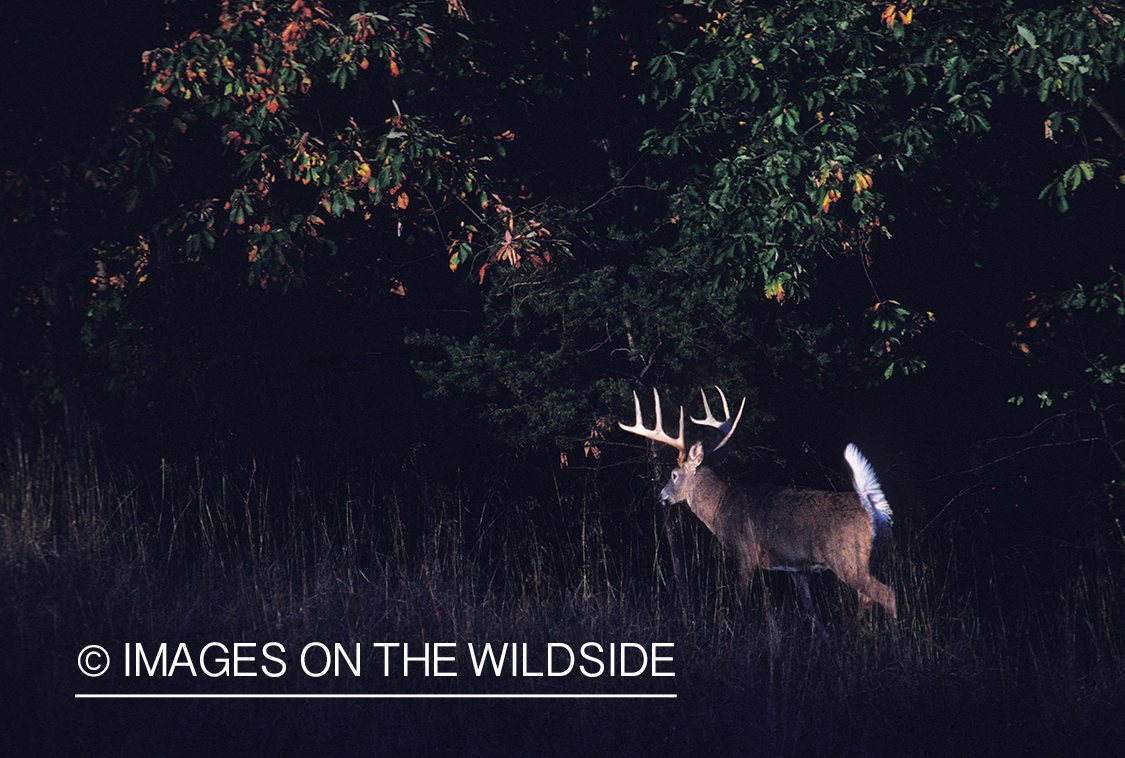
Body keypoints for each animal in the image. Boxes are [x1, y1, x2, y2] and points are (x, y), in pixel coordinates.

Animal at [620, 386, 897, 620]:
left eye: (674, 475)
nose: (662, 496)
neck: (720, 507)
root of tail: (870, 510)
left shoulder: (744, 553)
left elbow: (740, 603)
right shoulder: (797, 569)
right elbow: (810, 610)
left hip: (846, 557)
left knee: (886, 594)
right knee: (867, 598)